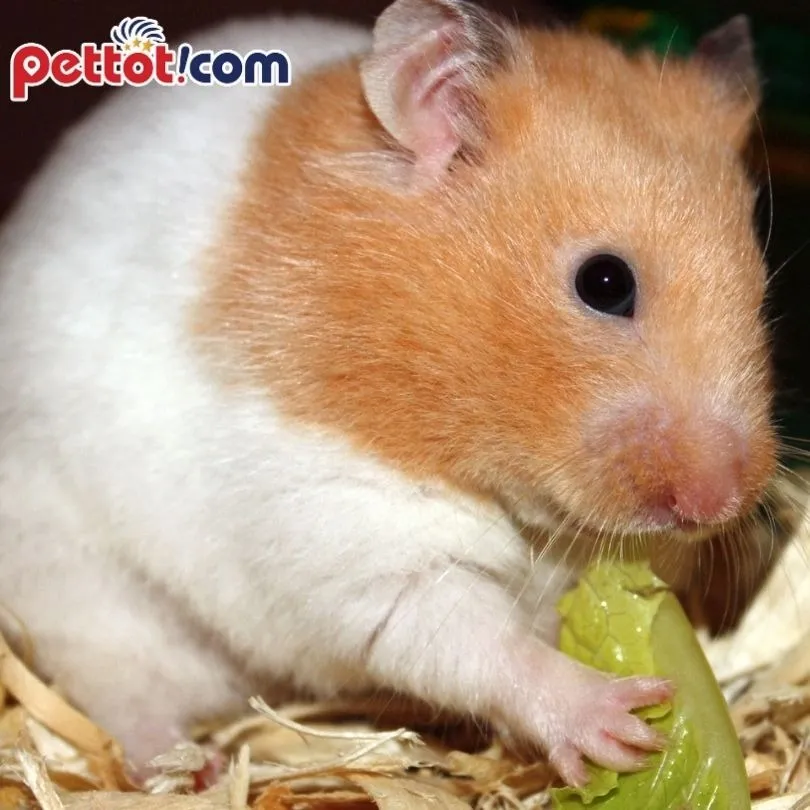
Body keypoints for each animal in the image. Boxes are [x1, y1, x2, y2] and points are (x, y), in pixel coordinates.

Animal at [0, 0, 777, 787]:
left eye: (759, 292)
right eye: (606, 283)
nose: (718, 504)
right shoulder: (348, 537)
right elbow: (479, 644)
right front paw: (623, 724)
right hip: (83, 576)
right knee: (121, 680)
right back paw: (192, 767)